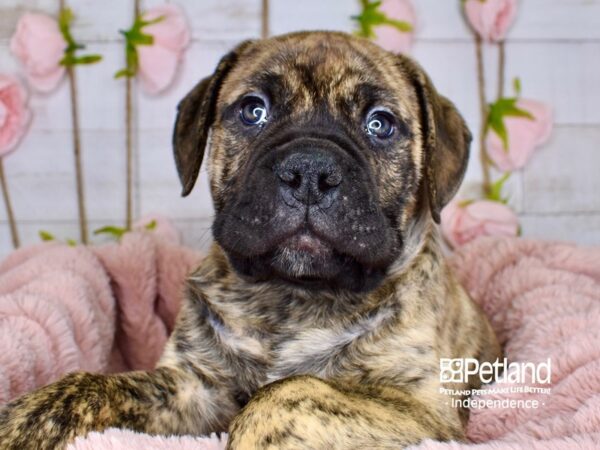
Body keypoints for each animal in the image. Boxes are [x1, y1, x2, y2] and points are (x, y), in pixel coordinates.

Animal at [0, 31, 502, 450]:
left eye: (380, 124)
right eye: (253, 110)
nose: (310, 172)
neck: (290, 297)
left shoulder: (425, 412)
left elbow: (288, 393)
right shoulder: (192, 388)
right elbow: (88, 385)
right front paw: (19, 422)